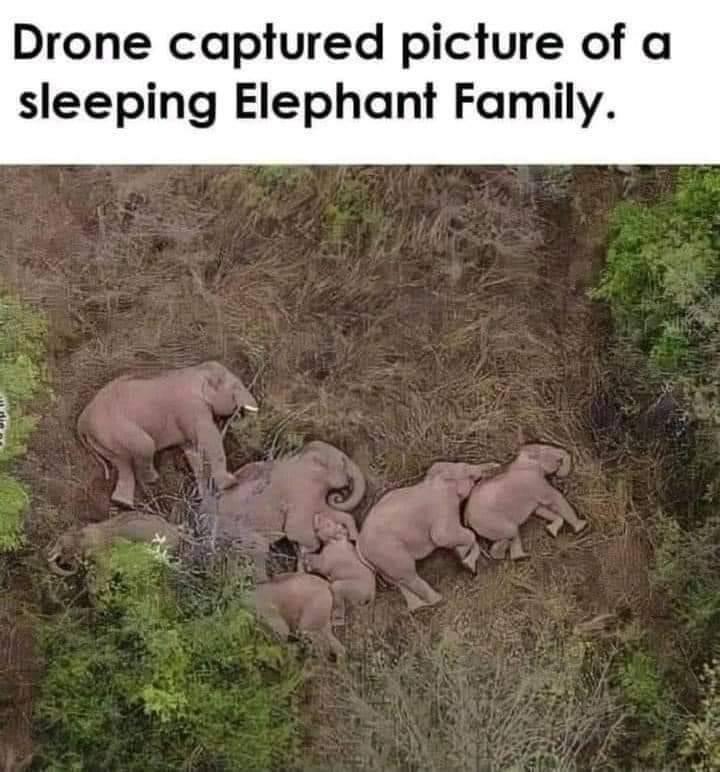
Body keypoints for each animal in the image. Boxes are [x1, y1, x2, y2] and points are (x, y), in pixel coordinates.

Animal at [204, 440, 366, 580]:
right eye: (344, 462)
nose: (338, 496)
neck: (300, 459)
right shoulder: (300, 493)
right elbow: (297, 532)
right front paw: (304, 552)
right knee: (259, 549)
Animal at [358, 462, 498, 612]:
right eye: (467, 470)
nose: (496, 465)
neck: (436, 480)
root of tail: (359, 546)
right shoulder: (443, 507)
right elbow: (442, 536)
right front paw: (467, 562)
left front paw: (463, 557)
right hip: (388, 552)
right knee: (408, 575)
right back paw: (438, 600)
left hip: (380, 561)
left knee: (398, 580)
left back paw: (418, 607)